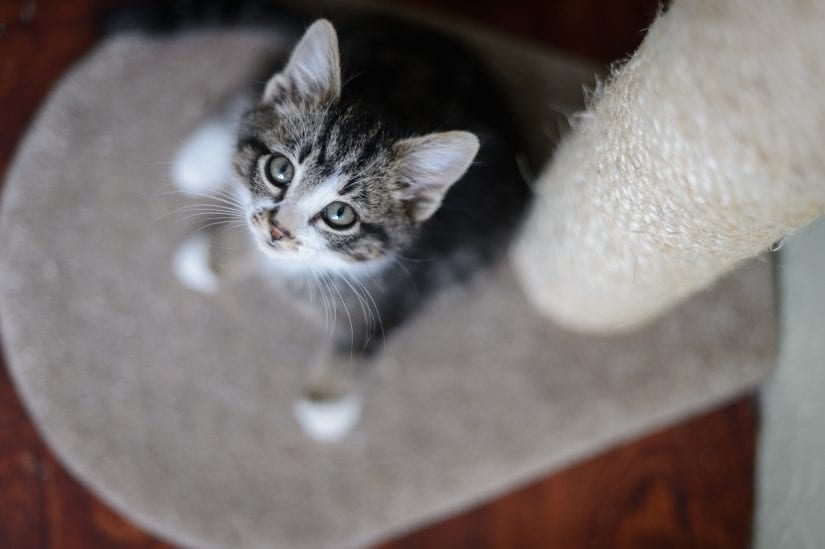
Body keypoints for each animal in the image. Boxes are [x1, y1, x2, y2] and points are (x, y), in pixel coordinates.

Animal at [172, 13, 528, 440]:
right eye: (280, 169)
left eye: (340, 215)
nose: (279, 230)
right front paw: (213, 257)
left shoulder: (417, 281)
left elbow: (372, 329)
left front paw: (327, 402)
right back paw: (199, 159)